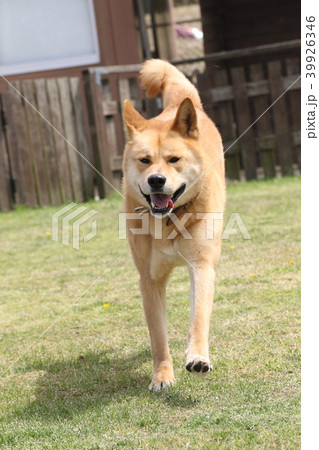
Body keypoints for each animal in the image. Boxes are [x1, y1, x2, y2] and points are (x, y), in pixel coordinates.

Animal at [122, 59, 225, 390]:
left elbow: (199, 317)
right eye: (144, 160)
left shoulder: (202, 266)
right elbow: (158, 337)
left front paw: (198, 356)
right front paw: (162, 374)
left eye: (174, 159)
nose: (156, 180)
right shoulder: (150, 280)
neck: (170, 220)